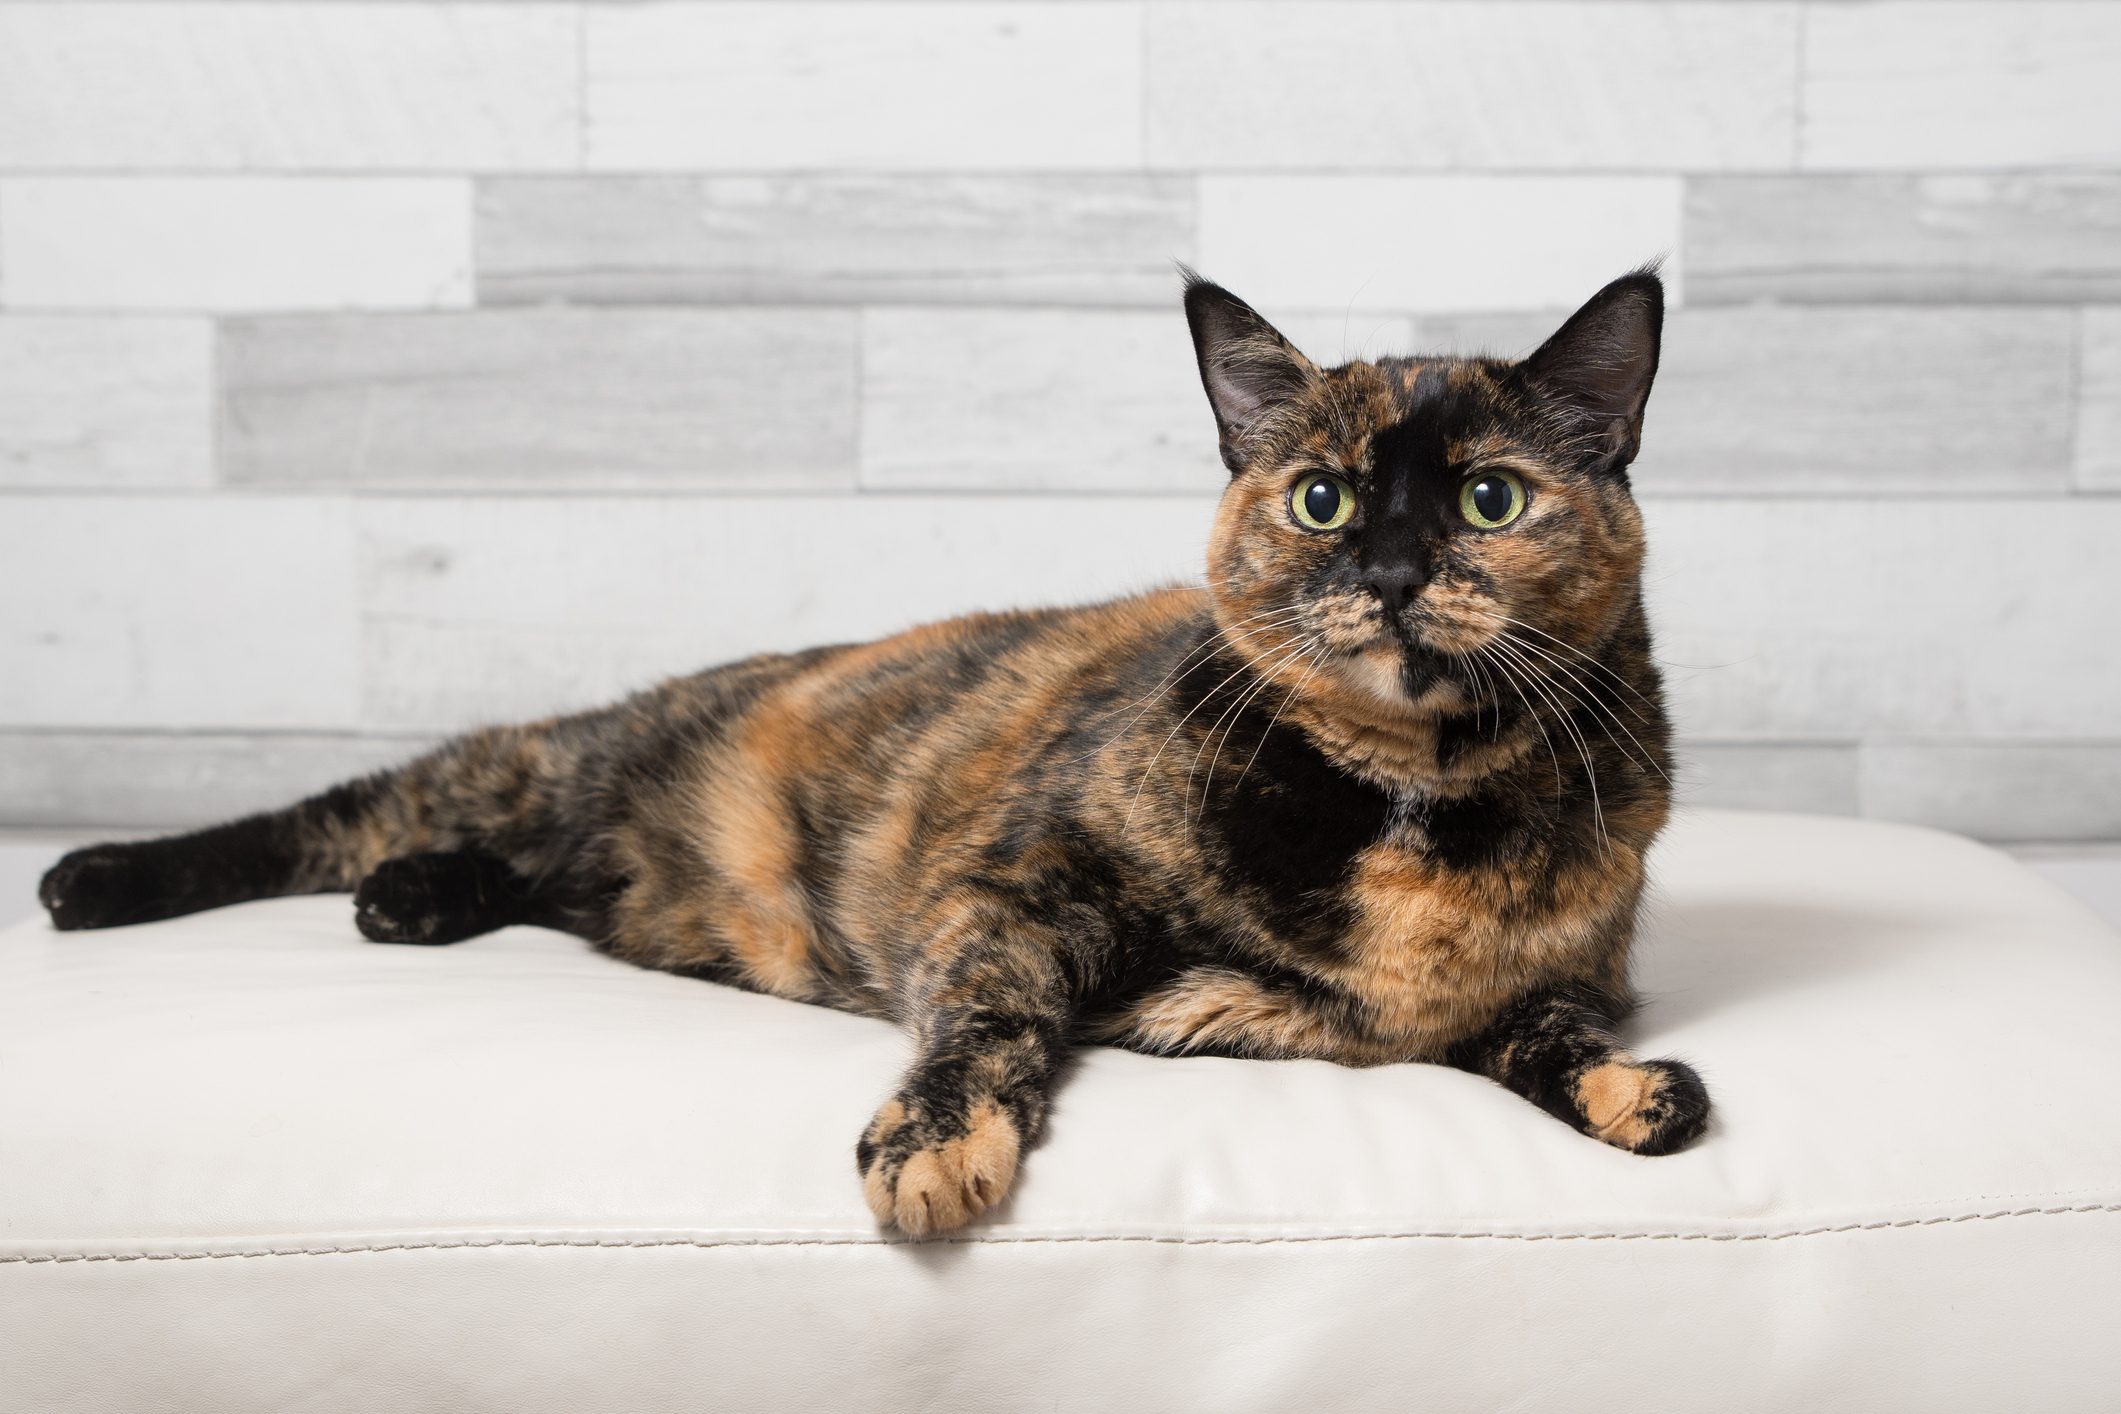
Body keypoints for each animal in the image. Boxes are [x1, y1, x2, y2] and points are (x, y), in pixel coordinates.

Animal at [37, 271, 1705, 1229]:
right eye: (1320, 497)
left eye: (1488, 498)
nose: (1397, 567)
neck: (1408, 797)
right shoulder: (1014, 884)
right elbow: (988, 1017)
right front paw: (938, 1143)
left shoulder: (1523, 984)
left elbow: (1546, 1033)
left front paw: (1635, 1089)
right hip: (531, 764)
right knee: (341, 813)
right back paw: (103, 876)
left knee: (508, 872)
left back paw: (418, 899)